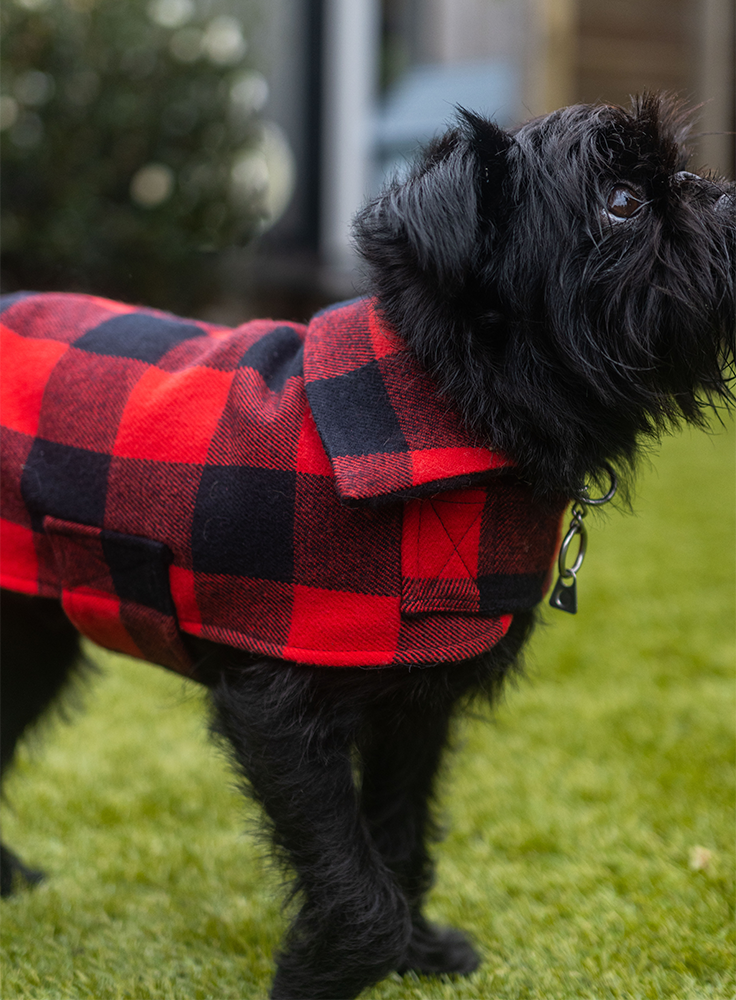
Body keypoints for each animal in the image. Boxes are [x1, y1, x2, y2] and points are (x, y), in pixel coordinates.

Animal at [0, 92, 732, 992]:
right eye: (623, 201)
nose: (719, 195)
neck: (443, 402)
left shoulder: (414, 705)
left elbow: (397, 836)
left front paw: (416, 951)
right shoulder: (275, 712)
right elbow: (358, 887)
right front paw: (326, 973)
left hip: (30, 643)